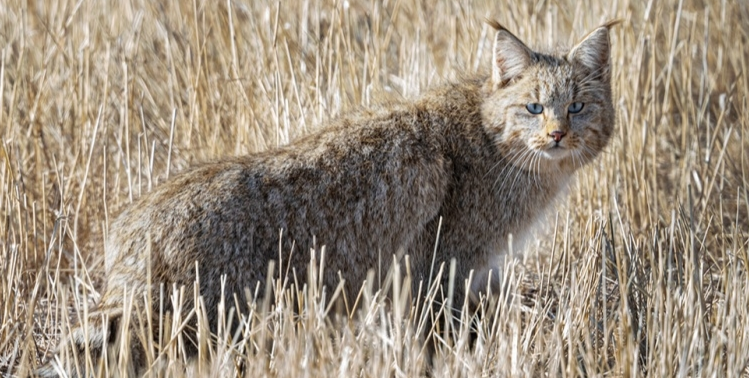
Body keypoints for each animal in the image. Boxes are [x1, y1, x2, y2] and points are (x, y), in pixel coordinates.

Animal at [38, 20, 616, 376]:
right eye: (534, 107)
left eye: (579, 106)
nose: (558, 135)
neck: (498, 142)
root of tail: (129, 223)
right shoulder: (437, 272)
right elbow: (437, 342)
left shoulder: (458, 276)